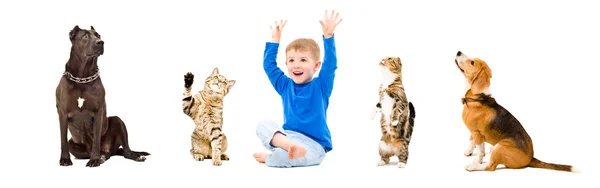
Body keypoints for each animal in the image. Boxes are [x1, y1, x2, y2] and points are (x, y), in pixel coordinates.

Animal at [56, 25, 150, 167]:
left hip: (117, 120)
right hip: (74, 143)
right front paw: (65, 160)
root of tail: (109, 150)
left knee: (126, 152)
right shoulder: (63, 113)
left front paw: (94, 159)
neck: (83, 76)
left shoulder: (98, 112)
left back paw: (133, 156)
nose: (100, 42)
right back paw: (102, 156)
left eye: (98, 35)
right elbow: (62, 139)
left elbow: (96, 139)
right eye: (85, 36)